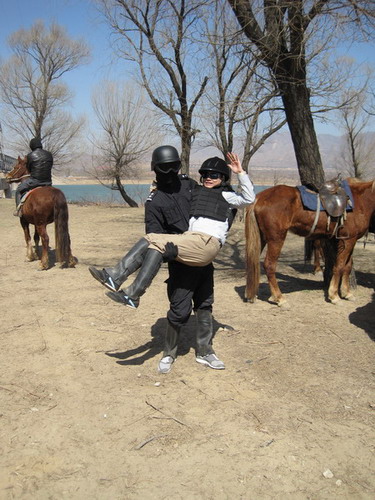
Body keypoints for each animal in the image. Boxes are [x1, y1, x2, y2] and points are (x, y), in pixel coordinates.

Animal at [247, 178, 375, 306]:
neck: (360, 200)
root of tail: (259, 198)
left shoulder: (345, 240)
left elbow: (347, 266)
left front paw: (347, 293)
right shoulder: (348, 240)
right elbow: (339, 266)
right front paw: (334, 296)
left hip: (262, 238)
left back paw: (252, 295)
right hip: (276, 239)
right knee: (269, 265)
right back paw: (279, 298)